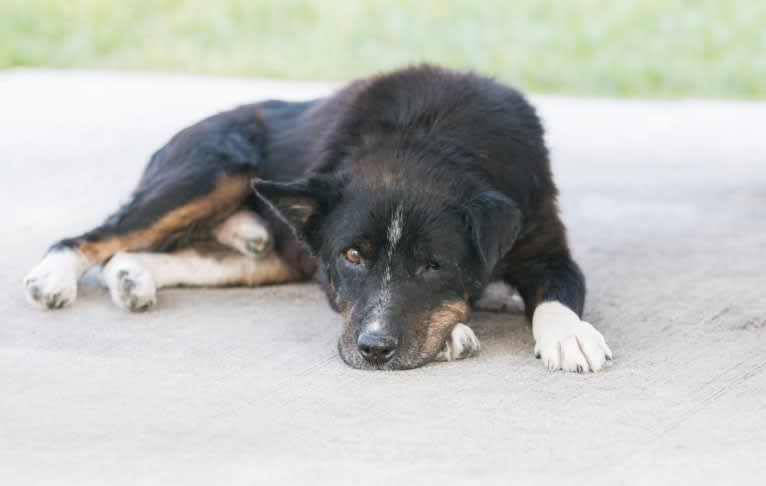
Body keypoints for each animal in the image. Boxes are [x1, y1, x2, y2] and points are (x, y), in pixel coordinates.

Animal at [21, 64, 616, 372]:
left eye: (433, 264)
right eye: (352, 255)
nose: (374, 350)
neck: (423, 141)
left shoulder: (546, 247)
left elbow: (559, 294)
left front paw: (569, 334)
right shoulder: (331, 278)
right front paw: (456, 334)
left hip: (277, 253)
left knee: (176, 254)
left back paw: (133, 275)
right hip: (213, 168)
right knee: (95, 235)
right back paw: (53, 277)